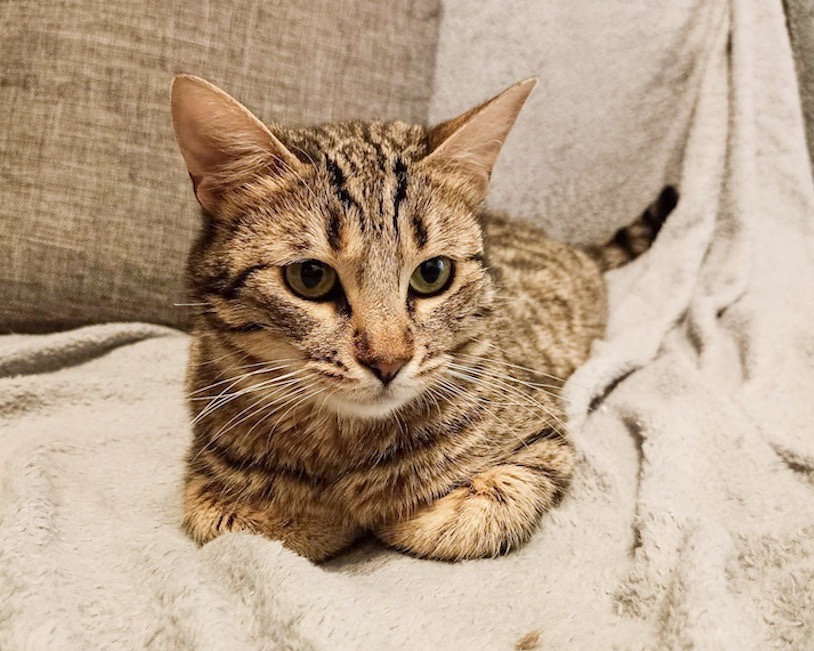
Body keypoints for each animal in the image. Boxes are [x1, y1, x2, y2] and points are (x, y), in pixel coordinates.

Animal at [172, 75, 676, 564]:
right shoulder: (205, 481)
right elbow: (246, 521)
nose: (388, 361)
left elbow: (471, 515)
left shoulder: (543, 436)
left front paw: (389, 511)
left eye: (432, 273)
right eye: (310, 276)